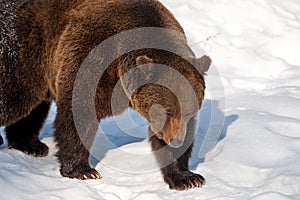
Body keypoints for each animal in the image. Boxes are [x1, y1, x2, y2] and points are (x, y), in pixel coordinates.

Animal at [0, 0, 211, 191]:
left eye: (188, 111)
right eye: (166, 110)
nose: (175, 141)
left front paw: (187, 178)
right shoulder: (92, 56)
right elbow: (79, 113)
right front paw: (83, 170)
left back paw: (31, 145)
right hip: (24, 50)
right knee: (14, 100)